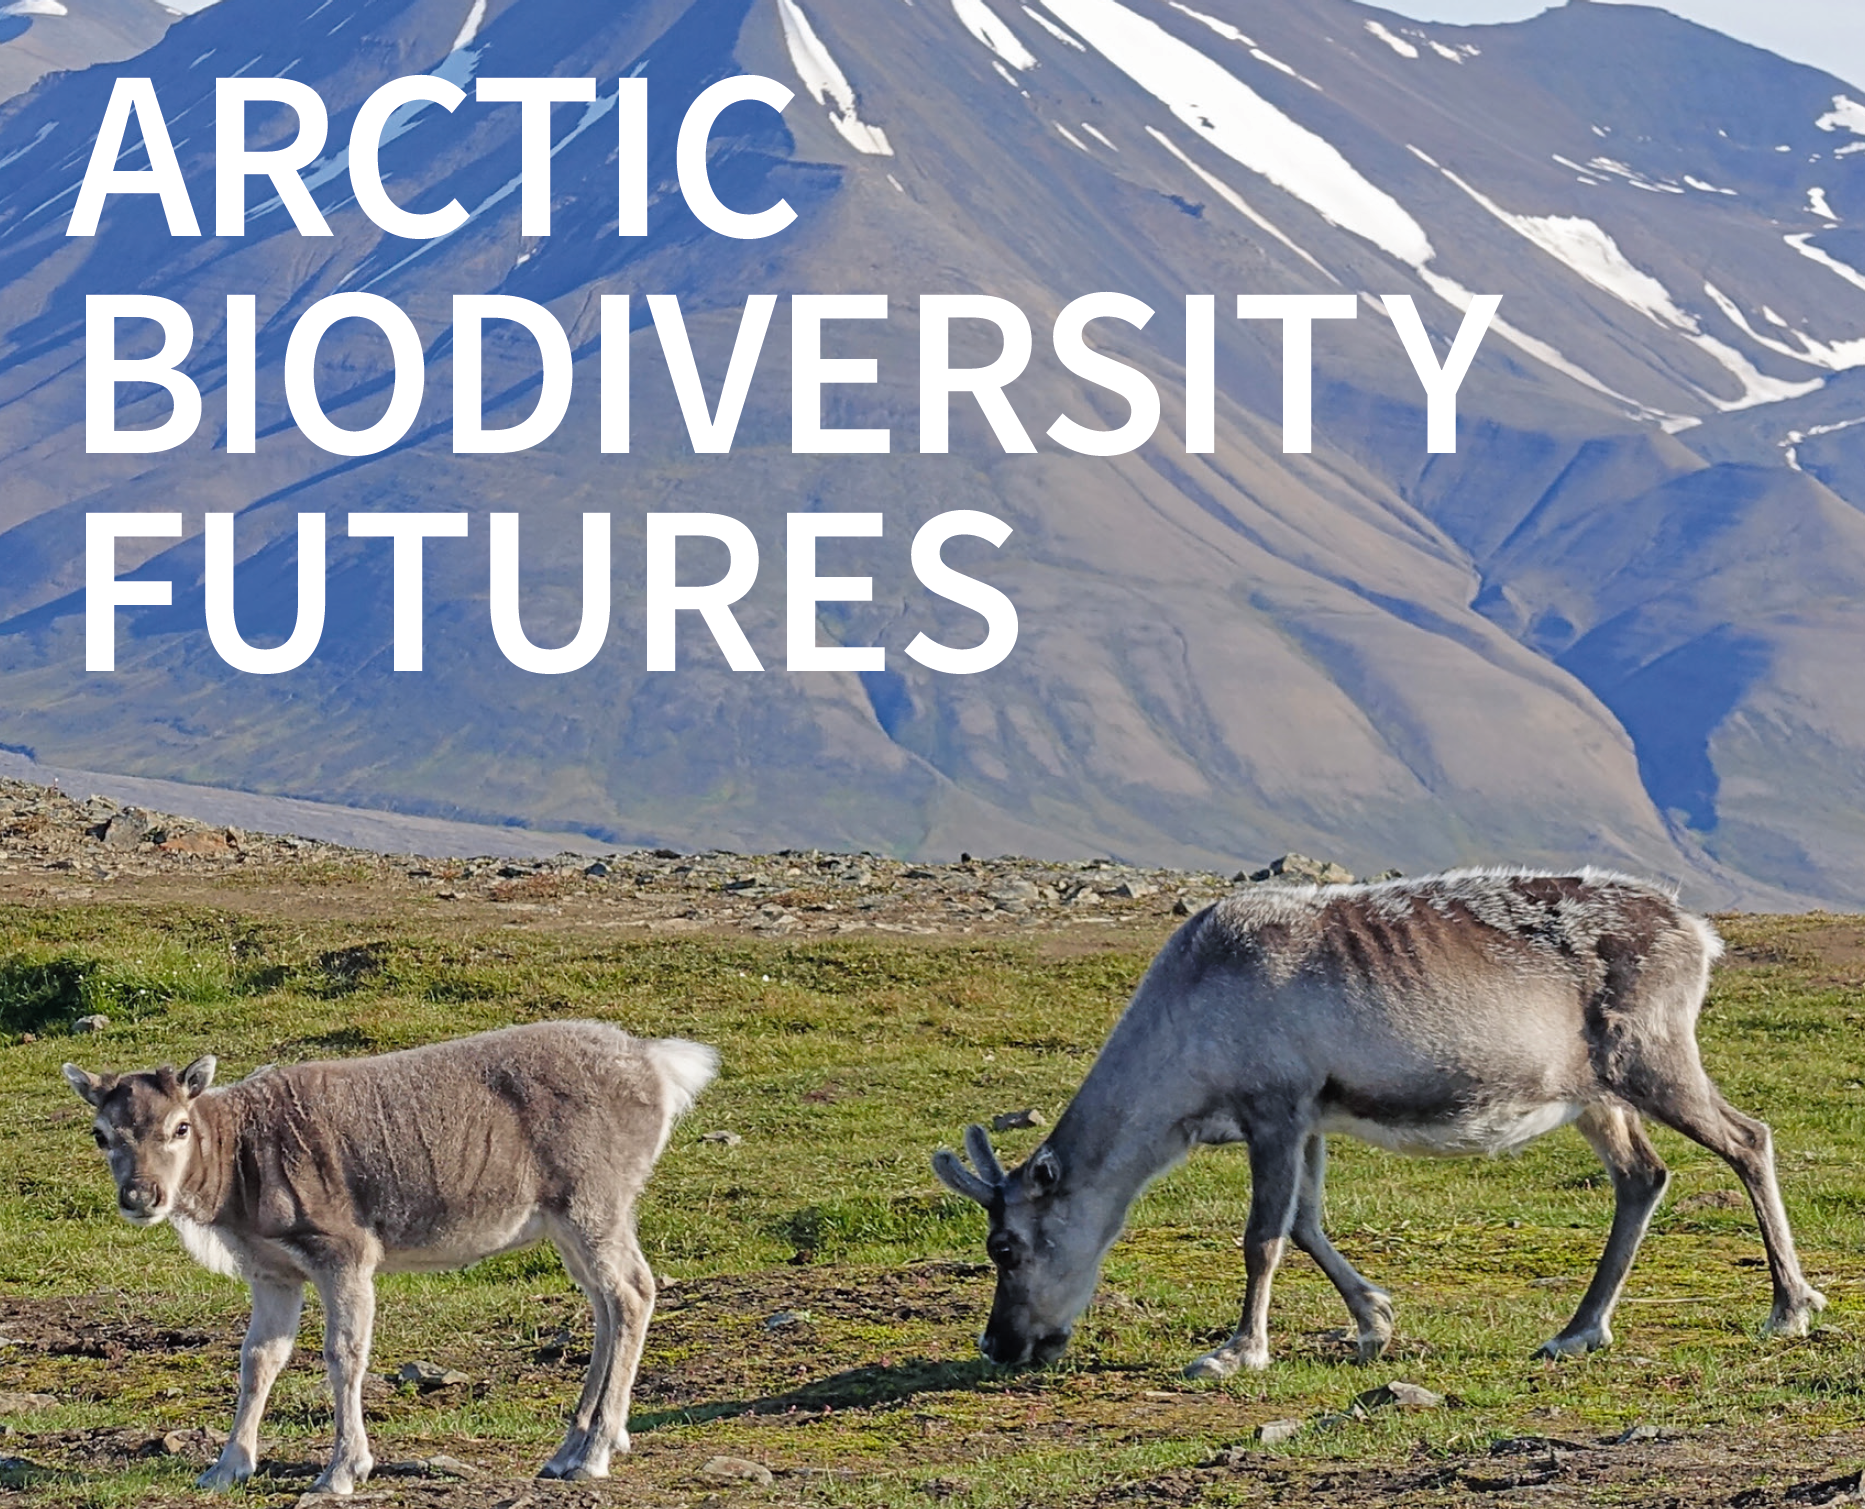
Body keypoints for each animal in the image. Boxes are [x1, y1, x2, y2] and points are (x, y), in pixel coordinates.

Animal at [65, 1022, 712, 1492]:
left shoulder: (345, 1248)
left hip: (592, 1197)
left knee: (632, 1290)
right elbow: (258, 1359)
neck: (237, 1185)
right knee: (606, 1302)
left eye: (179, 1127)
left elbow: (344, 1354)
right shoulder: (272, 1270)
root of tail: (663, 1066)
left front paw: (342, 1470)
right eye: (101, 1134)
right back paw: (570, 1448)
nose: (141, 1196)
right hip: (569, 1221)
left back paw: (595, 1452)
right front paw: (227, 1466)